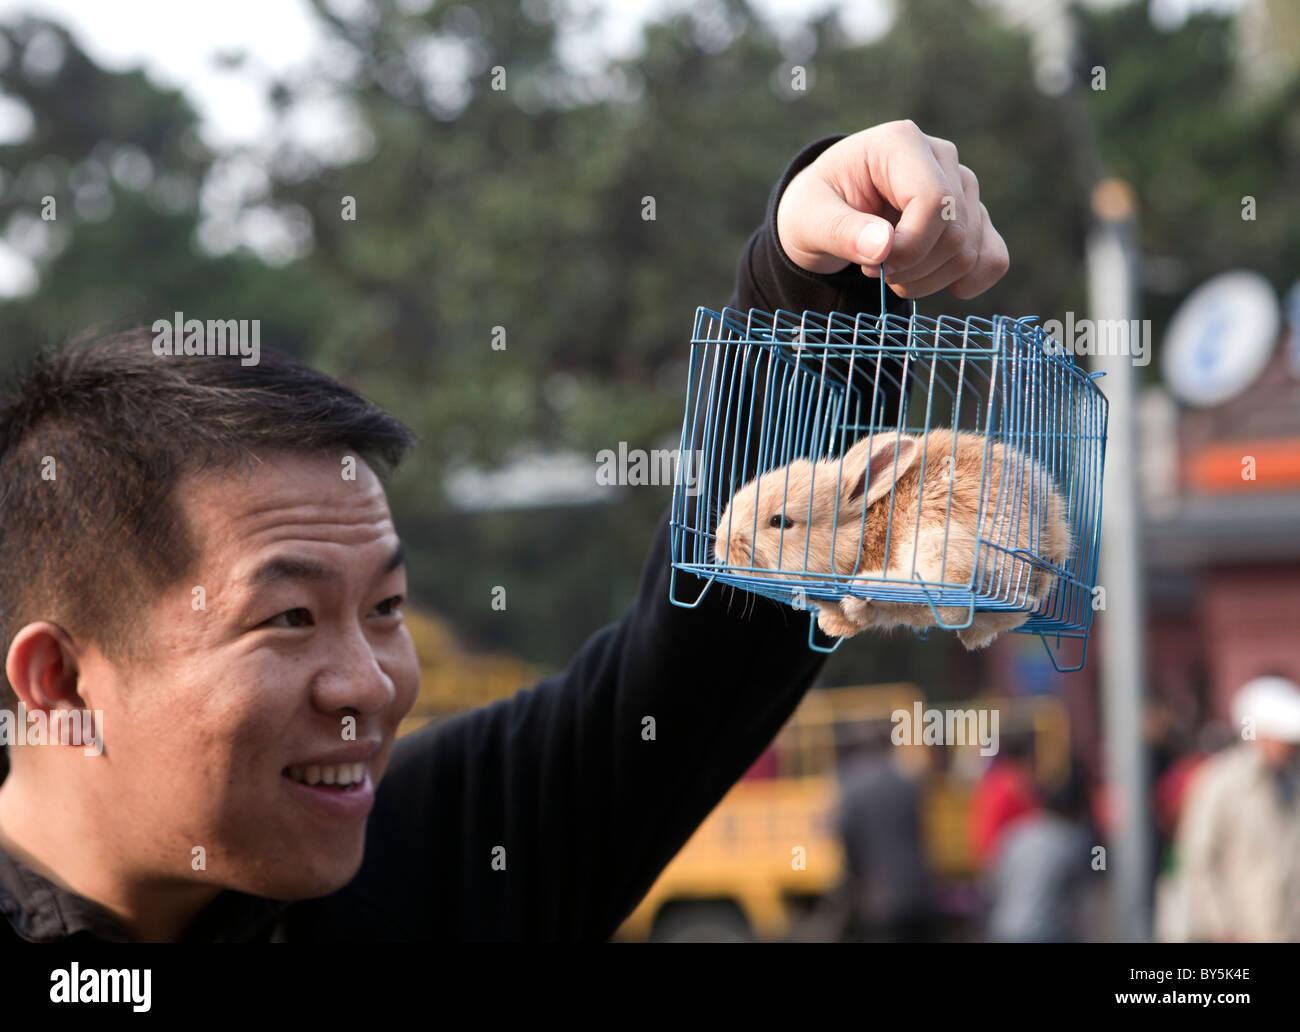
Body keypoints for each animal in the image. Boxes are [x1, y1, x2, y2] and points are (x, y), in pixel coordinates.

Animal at [713, 428, 1072, 650]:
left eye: (780, 522)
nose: (721, 543)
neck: (864, 529)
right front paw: (834, 624)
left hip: (938, 541)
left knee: (947, 598)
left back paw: (866, 589)